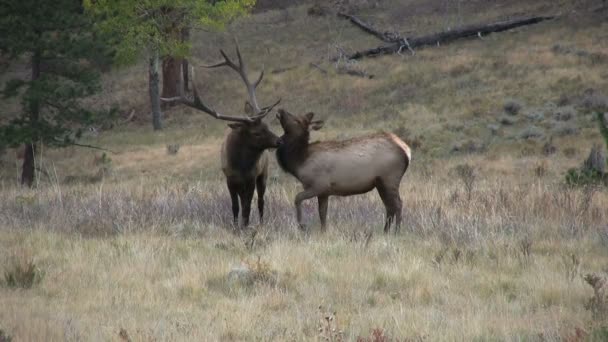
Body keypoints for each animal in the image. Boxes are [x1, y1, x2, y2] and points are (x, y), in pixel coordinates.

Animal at [162, 43, 280, 230]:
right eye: (256, 132)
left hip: (264, 173)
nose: (279, 140)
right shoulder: (229, 179)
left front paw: (245, 226)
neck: (240, 165)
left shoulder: (251, 178)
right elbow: (235, 206)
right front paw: (236, 226)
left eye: (267, 126)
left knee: (261, 201)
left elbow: (247, 206)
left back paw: (261, 223)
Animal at [276, 109, 414, 232]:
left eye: (297, 120)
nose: (281, 110)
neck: (299, 161)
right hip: (380, 183)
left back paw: (396, 231)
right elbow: (322, 214)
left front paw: (302, 225)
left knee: (398, 204)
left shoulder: (319, 185)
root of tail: (407, 151)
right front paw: (323, 232)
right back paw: (385, 231)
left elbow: (297, 198)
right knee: (390, 207)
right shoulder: (324, 192)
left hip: (390, 178)